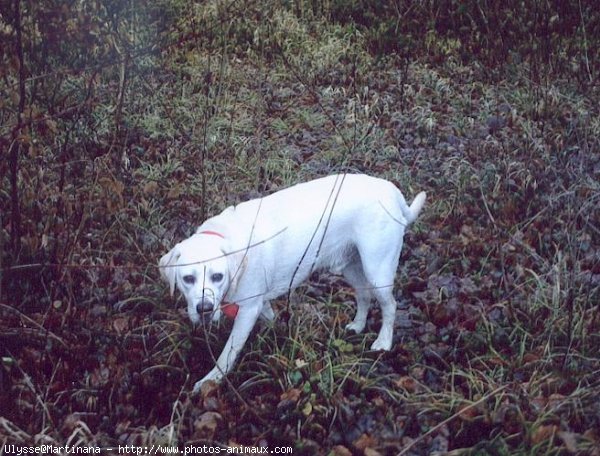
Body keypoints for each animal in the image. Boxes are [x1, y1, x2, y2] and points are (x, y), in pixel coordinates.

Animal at [157, 175, 424, 392]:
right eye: (187, 279)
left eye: (217, 276)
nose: (204, 309)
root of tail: (393, 192)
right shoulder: (259, 304)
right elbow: (270, 319)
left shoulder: (248, 309)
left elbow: (227, 353)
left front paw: (210, 380)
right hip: (351, 266)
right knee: (363, 295)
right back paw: (357, 326)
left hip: (377, 268)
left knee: (390, 305)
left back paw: (383, 342)